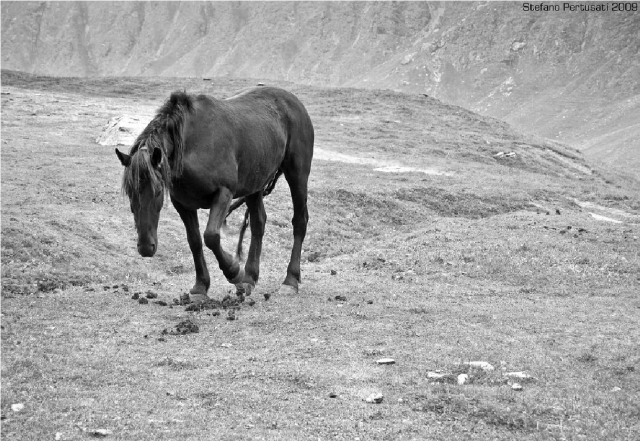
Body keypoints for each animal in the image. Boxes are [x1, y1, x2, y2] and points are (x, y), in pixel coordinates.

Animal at [115, 86, 314, 302]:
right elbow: (194, 241)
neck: (193, 144)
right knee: (258, 223)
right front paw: (201, 287)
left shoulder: (223, 194)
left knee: (300, 221)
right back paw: (249, 278)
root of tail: (294, 102)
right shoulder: (182, 204)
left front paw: (233, 271)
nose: (145, 247)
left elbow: (211, 236)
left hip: (297, 175)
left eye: (158, 190)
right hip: (255, 185)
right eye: (130, 193)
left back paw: (290, 280)